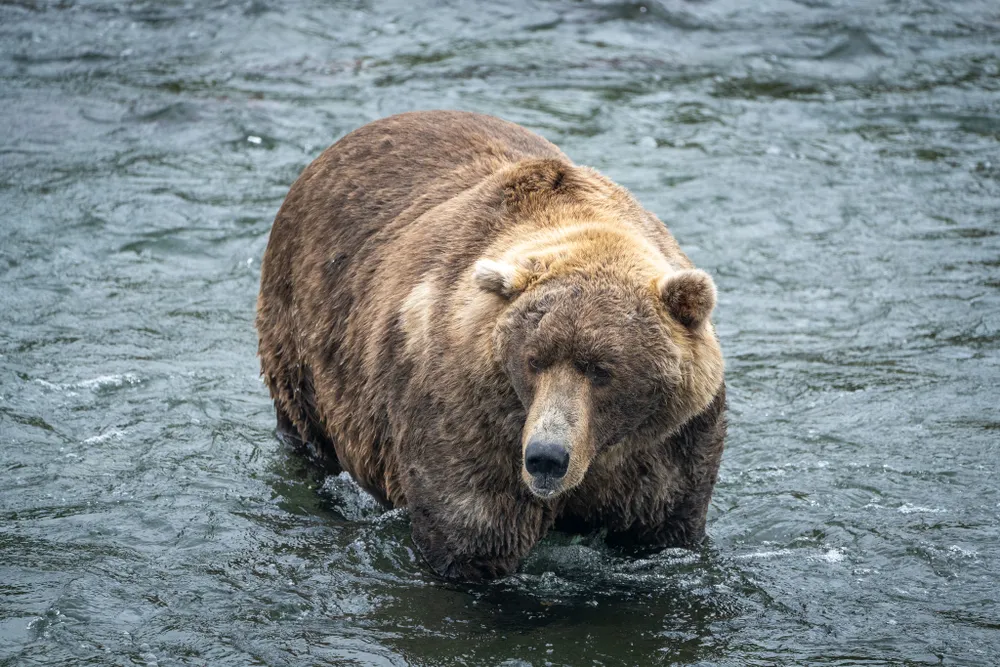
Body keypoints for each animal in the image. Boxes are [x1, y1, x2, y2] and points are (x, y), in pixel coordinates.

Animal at [256, 110, 726, 581]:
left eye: (602, 369)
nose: (546, 457)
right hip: (301, 331)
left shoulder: (667, 444)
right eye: (533, 360)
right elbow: (473, 536)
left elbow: (663, 526)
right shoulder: (470, 419)